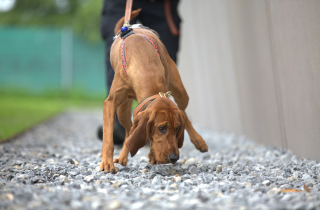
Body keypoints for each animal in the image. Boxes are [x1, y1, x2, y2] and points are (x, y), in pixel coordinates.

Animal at [101, 9, 209, 173]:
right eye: (161, 128)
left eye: (177, 128)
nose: (174, 158)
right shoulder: (110, 103)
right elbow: (109, 139)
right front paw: (107, 162)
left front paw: (153, 155)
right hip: (122, 111)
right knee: (128, 131)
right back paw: (124, 156)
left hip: (181, 92)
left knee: (184, 113)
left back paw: (198, 140)